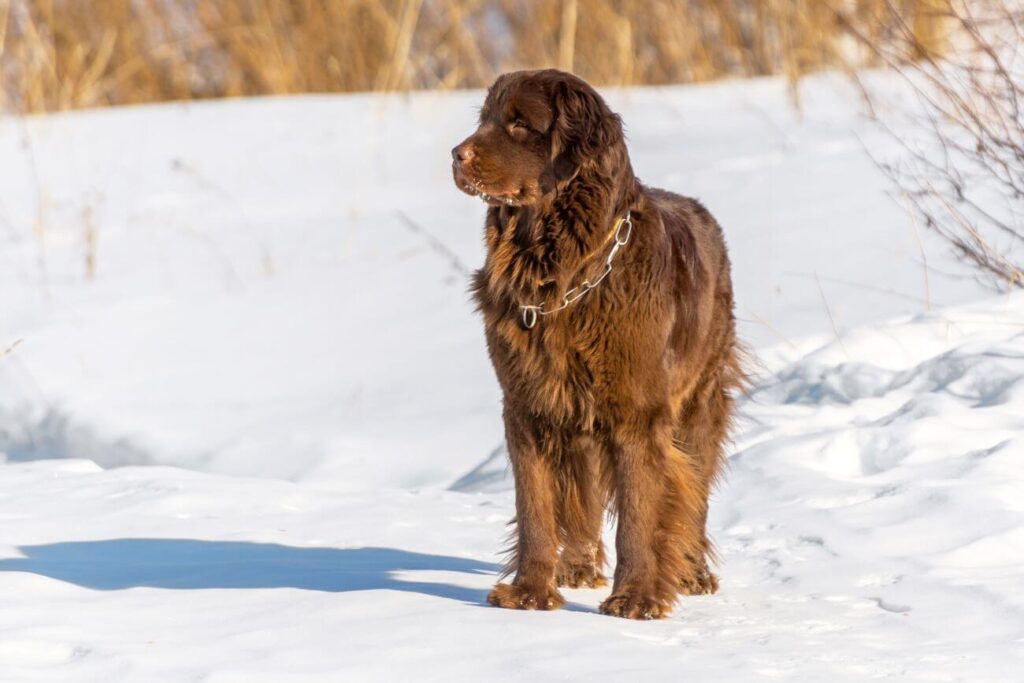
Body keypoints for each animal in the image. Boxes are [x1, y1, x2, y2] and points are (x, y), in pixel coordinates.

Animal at [448, 69, 745, 618]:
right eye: (485, 118)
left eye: (520, 123)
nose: (457, 154)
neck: (565, 275)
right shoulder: (527, 403)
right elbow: (536, 504)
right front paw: (529, 592)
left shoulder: (639, 412)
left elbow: (640, 511)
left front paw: (636, 599)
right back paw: (578, 567)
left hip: (699, 397)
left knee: (694, 485)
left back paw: (693, 572)